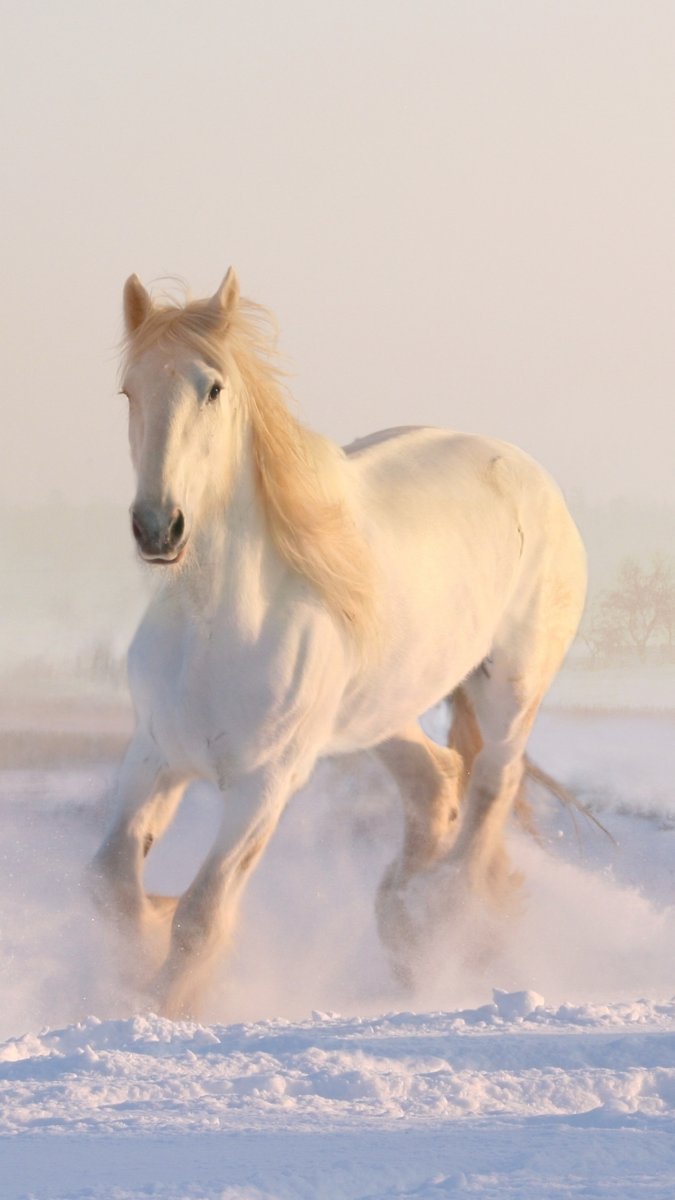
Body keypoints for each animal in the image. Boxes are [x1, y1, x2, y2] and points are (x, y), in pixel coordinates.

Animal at [92, 270, 587, 1018]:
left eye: (213, 388)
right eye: (129, 390)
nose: (158, 527)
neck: (215, 628)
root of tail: (530, 474)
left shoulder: (265, 784)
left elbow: (202, 914)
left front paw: (164, 1002)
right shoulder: (153, 755)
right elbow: (113, 885)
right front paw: (139, 953)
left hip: (510, 687)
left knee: (489, 788)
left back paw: (444, 922)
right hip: (381, 712)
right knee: (436, 780)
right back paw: (404, 925)